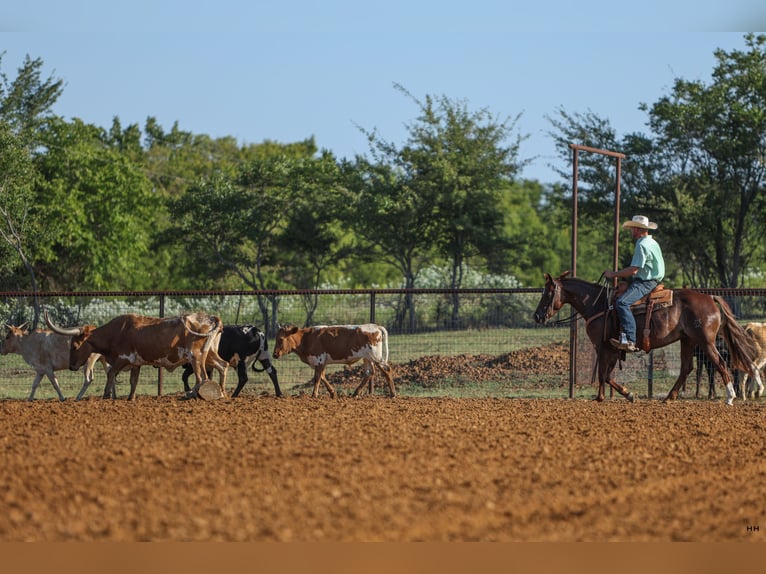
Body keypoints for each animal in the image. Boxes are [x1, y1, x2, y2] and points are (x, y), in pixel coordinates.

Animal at [45, 312, 228, 402]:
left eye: (75, 346)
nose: (72, 366)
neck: (117, 331)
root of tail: (211, 317)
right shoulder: (136, 363)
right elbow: (133, 381)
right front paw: (130, 398)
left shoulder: (122, 359)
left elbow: (111, 374)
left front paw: (106, 395)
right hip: (210, 354)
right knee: (222, 366)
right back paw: (222, 392)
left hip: (196, 356)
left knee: (201, 377)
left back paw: (192, 395)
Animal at [536, 274, 760, 404]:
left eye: (548, 293)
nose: (537, 316)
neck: (597, 304)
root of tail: (710, 298)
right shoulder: (613, 349)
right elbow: (606, 375)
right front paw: (618, 395)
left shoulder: (603, 346)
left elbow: (603, 374)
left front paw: (607, 397)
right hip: (687, 340)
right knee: (686, 368)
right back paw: (669, 397)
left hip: (705, 342)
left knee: (720, 364)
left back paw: (730, 397)